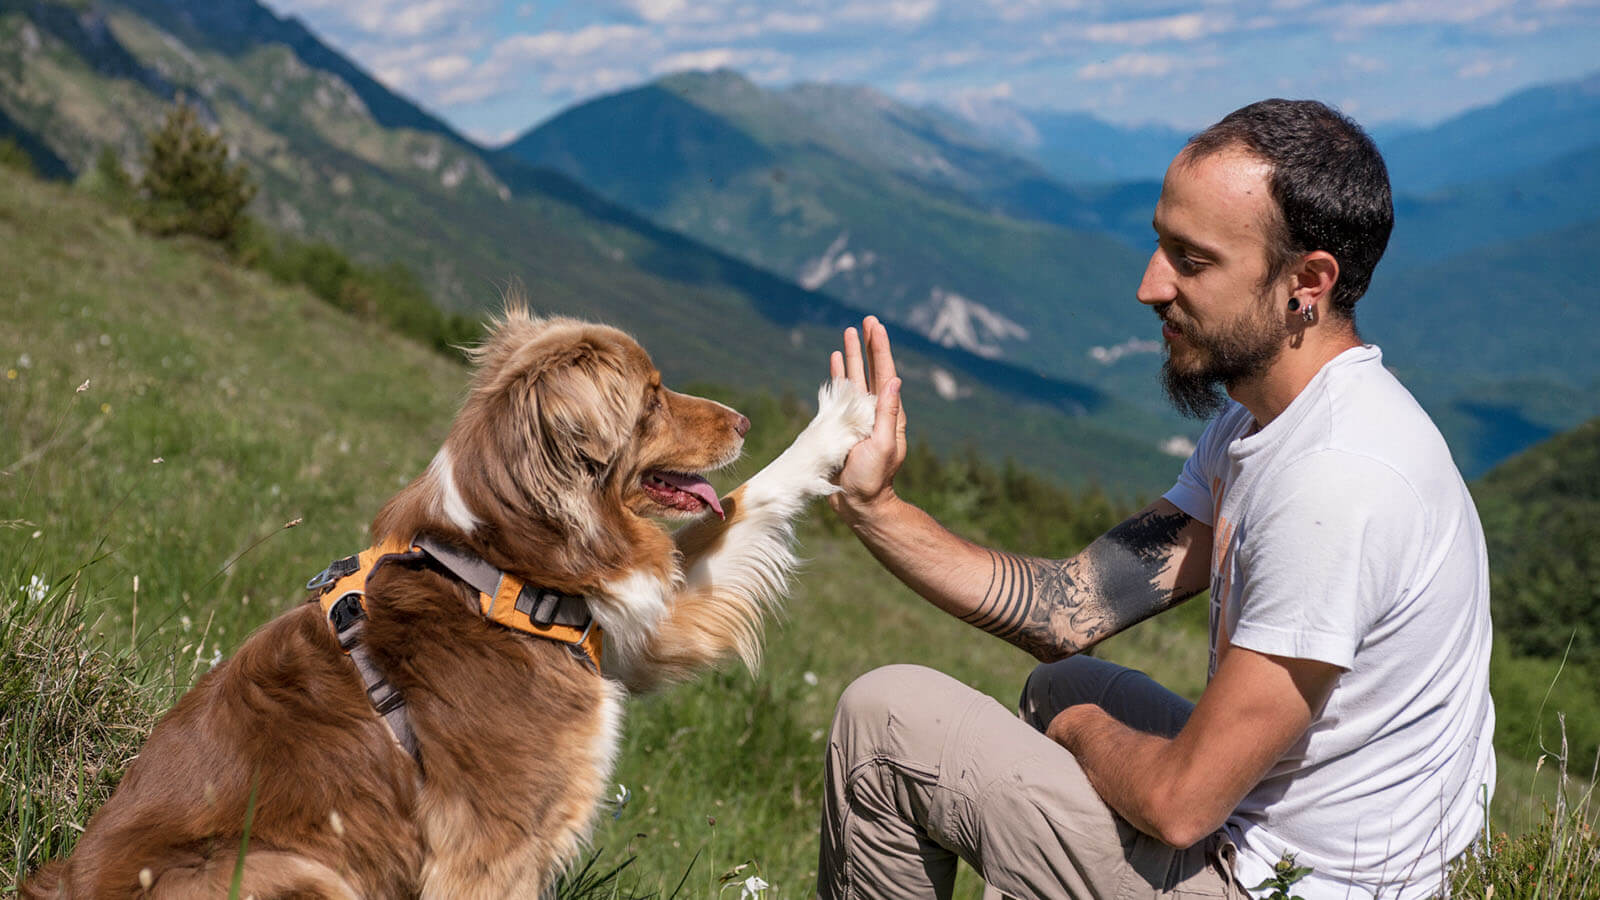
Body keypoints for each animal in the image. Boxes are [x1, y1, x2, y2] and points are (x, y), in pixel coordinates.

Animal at [21, 304, 876, 890]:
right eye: (655, 396)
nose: (745, 418)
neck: (490, 569)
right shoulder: (488, 851)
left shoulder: (634, 634)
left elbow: (756, 496)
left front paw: (841, 416)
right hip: (292, 868)